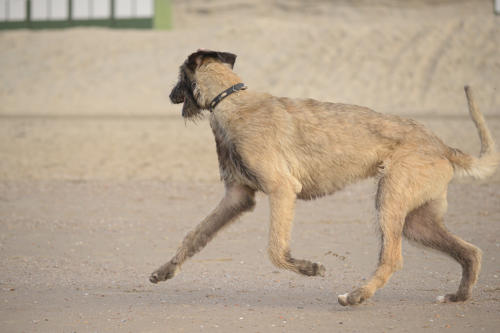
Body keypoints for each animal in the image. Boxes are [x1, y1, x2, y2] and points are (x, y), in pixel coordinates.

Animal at [149, 49, 500, 306]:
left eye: (179, 77)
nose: (168, 95)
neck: (231, 99)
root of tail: (443, 146)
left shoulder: (282, 189)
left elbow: (275, 250)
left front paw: (307, 267)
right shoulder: (237, 197)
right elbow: (194, 235)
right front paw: (166, 269)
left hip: (389, 203)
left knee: (392, 259)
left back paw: (357, 295)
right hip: (416, 221)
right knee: (470, 251)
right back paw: (459, 295)